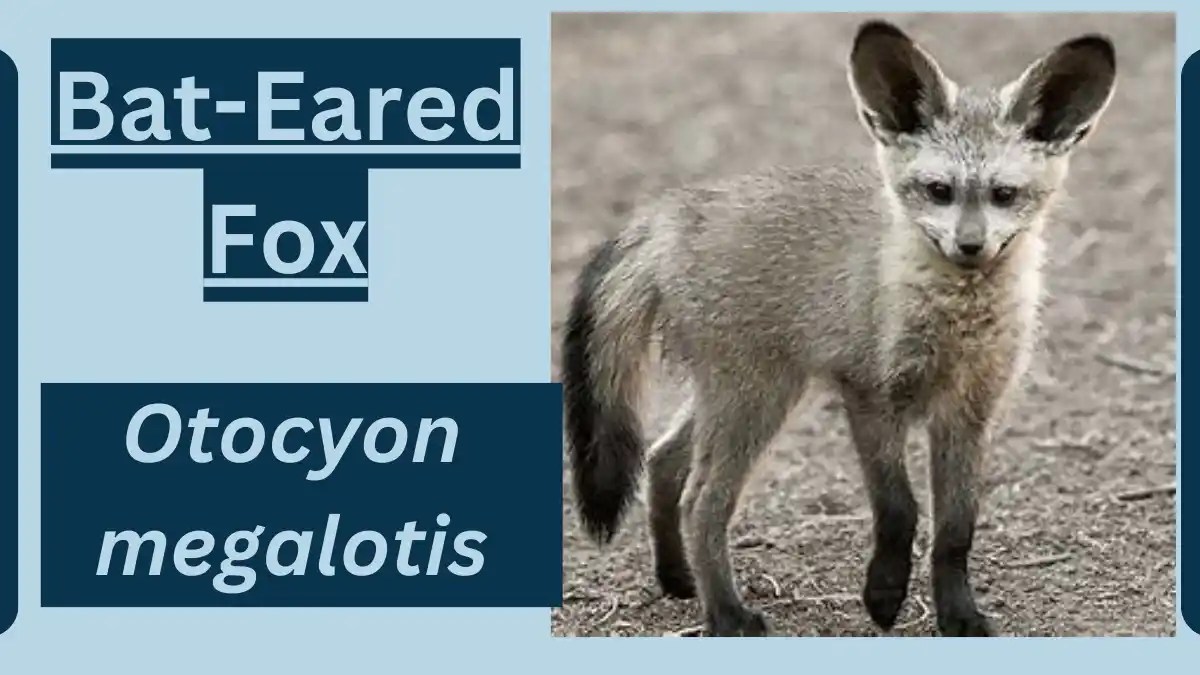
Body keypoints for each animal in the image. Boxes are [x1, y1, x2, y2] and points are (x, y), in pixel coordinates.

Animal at [561, 20, 1117, 637]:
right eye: (939, 191)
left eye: (1004, 195)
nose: (970, 247)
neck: (955, 324)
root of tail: (670, 213)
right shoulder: (870, 395)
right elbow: (899, 510)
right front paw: (884, 595)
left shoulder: (970, 410)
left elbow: (956, 528)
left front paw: (958, 615)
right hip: (757, 398)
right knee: (701, 501)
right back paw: (727, 614)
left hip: (748, 395)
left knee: (662, 462)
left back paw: (679, 581)